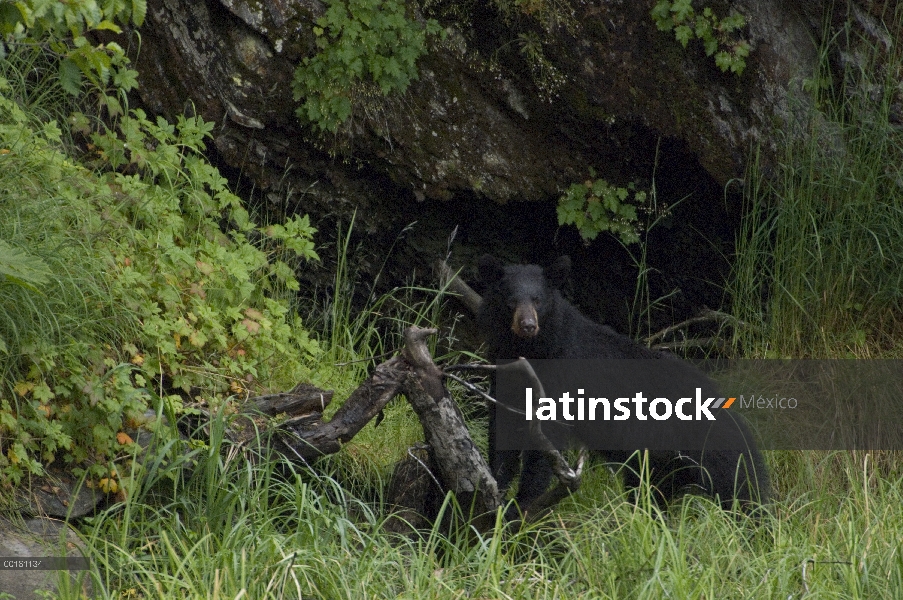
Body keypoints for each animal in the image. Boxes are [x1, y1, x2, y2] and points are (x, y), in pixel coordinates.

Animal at [474, 255, 768, 512]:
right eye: (511, 301)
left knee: (746, 493)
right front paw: (498, 487)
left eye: (538, 300)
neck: (529, 349)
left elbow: (546, 440)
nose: (527, 325)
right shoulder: (504, 377)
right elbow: (502, 431)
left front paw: (522, 502)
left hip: (716, 453)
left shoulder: (559, 375)